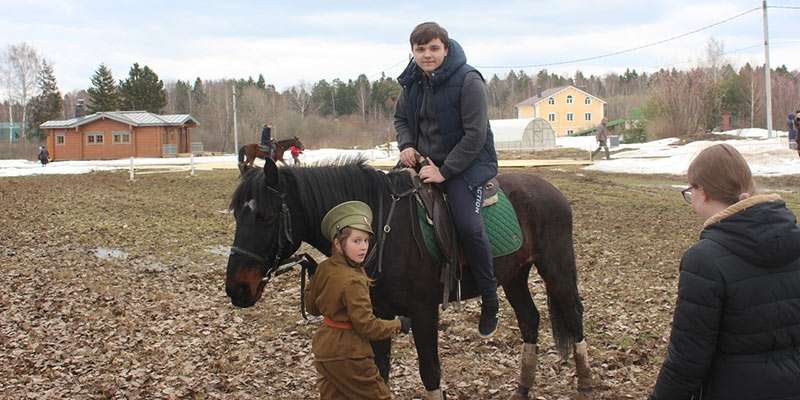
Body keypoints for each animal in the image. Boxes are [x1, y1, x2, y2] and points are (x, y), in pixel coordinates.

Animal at [225, 159, 592, 400]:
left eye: (265, 216)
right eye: (237, 214)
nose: (237, 288)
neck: (380, 227)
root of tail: (553, 191)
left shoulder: (423, 311)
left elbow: (430, 372)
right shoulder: (378, 313)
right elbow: (380, 371)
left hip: (556, 267)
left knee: (574, 315)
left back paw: (585, 384)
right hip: (514, 275)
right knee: (530, 320)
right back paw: (523, 388)